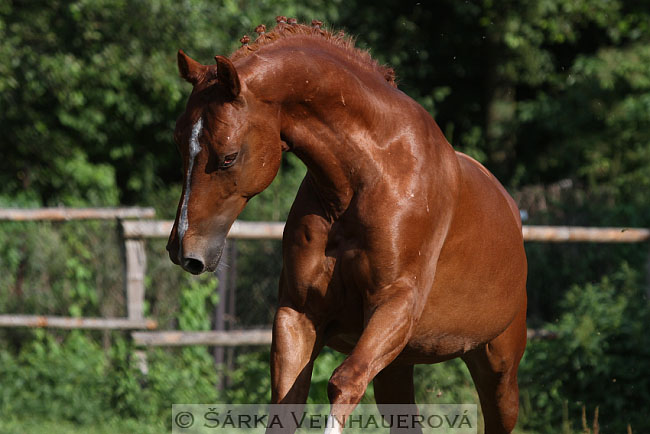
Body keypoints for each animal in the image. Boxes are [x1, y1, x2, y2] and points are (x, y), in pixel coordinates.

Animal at [167, 17, 528, 434]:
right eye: (180, 145)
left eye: (228, 157)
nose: (183, 250)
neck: (369, 177)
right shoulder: (298, 315)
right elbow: (286, 405)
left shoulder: (394, 306)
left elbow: (344, 383)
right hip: (397, 368)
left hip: (498, 368)